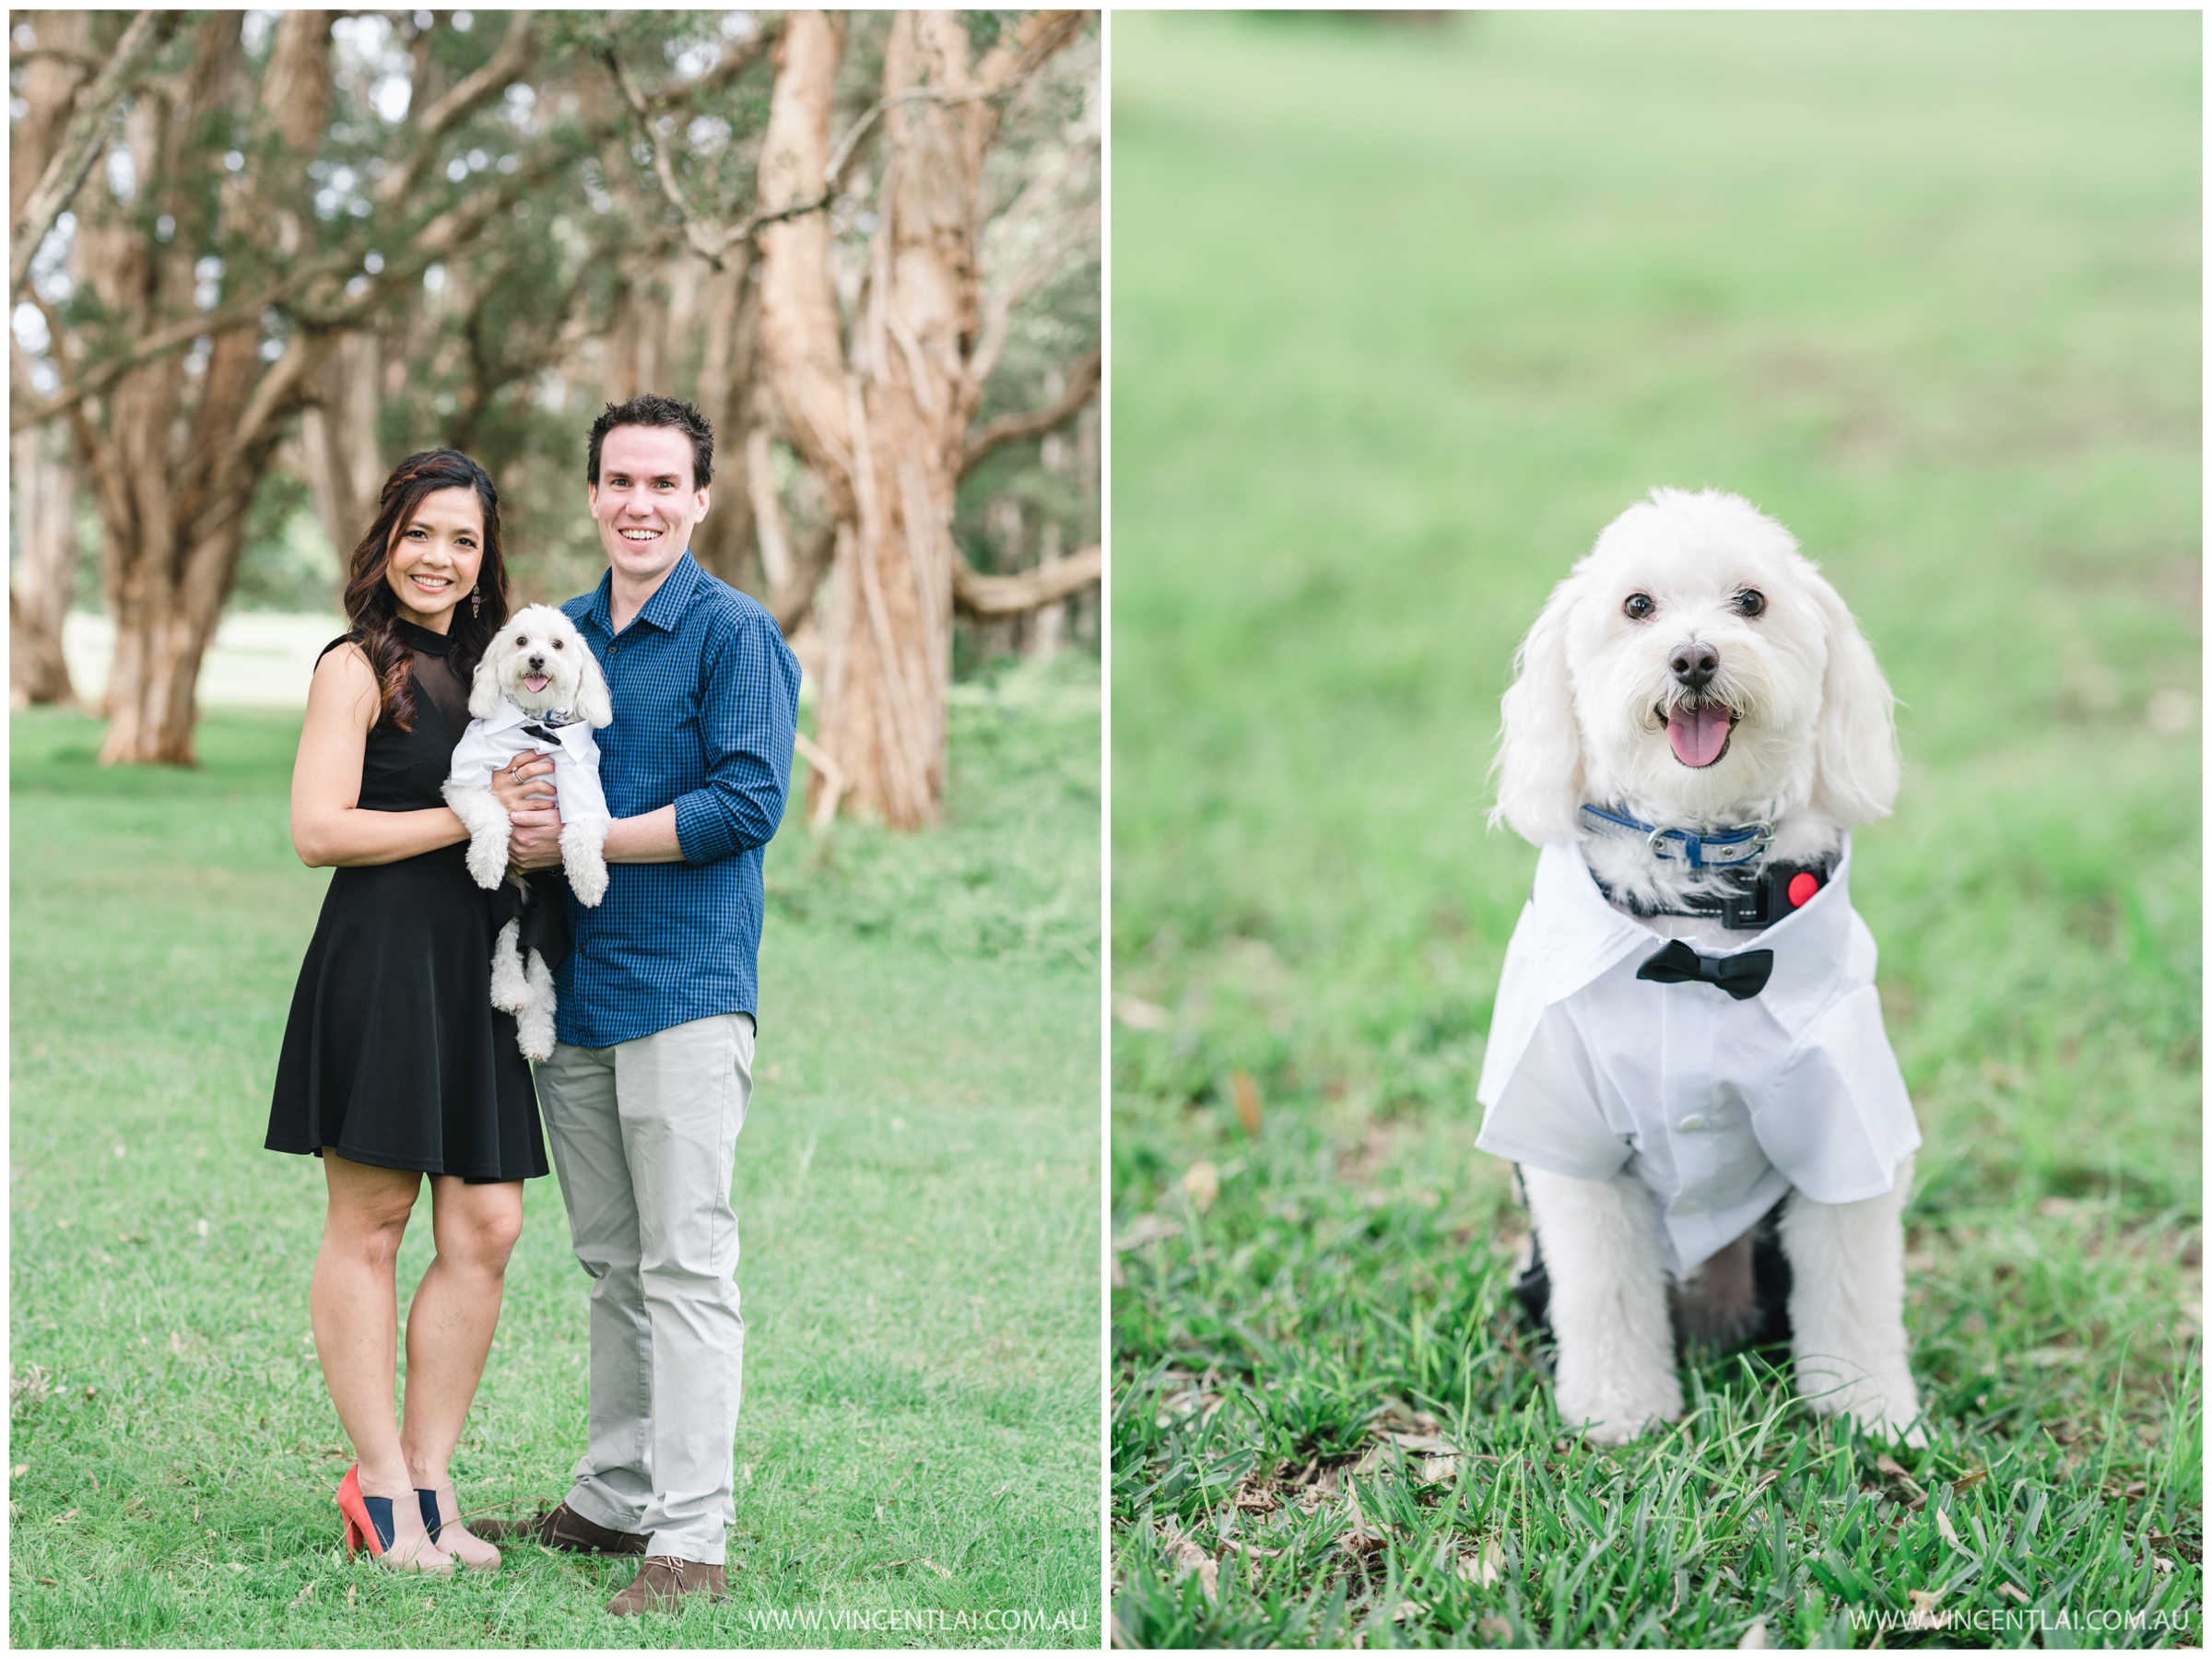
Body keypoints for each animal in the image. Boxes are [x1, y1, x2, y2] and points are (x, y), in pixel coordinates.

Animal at [442, 610, 615, 1065]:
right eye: (521, 641)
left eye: (557, 644)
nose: (537, 659)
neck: (534, 724)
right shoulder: (463, 784)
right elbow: (492, 816)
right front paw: (485, 861)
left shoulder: (582, 782)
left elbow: (581, 832)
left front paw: (591, 882)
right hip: (509, 895)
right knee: (506, 942)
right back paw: (508, 993)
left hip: (547, 905)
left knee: (539, 972)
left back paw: (537, 1036)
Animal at [1477, 487, 1928, 1451]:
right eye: (1637, 606)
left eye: (1750, 601)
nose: (1693, 657)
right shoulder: (1575, 1143)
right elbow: (1604, 1291)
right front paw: (1620, 1410)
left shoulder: (1844, 1125)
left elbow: (1854, 1289)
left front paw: (1869, 1412)